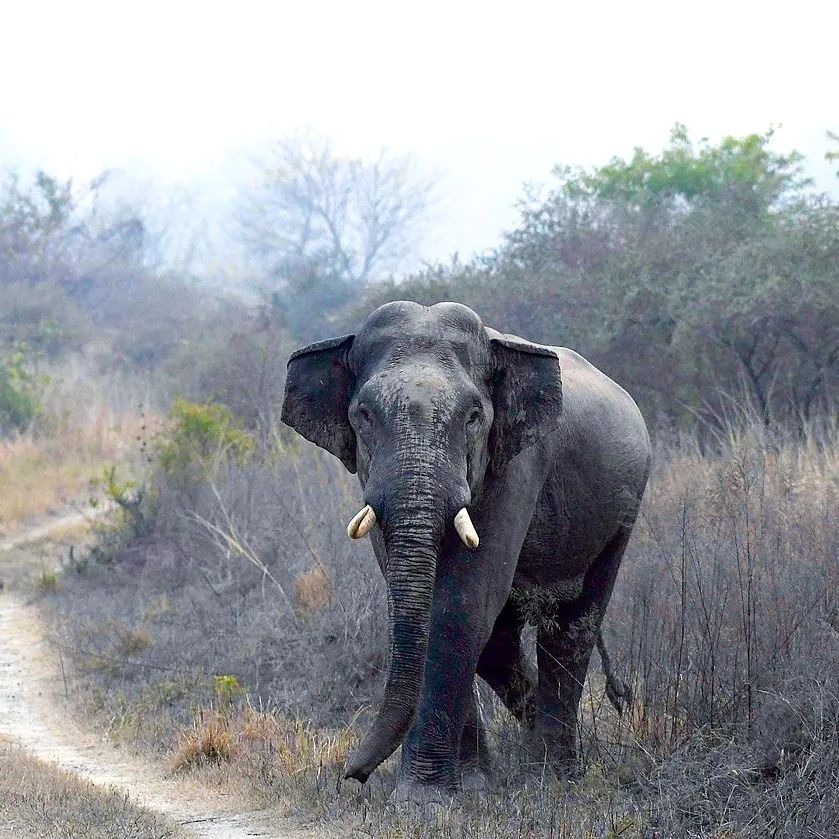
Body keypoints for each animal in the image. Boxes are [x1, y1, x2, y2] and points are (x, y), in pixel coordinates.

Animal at [281, 301, 650, 802]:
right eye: (363, 415)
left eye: (474, 416)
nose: (351, 774)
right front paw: (471, 788)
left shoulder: (517, 465)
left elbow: (460, 605)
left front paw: (421, 800)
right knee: (500, 645)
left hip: (622, 511)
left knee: (574, 627)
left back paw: (553, 776)